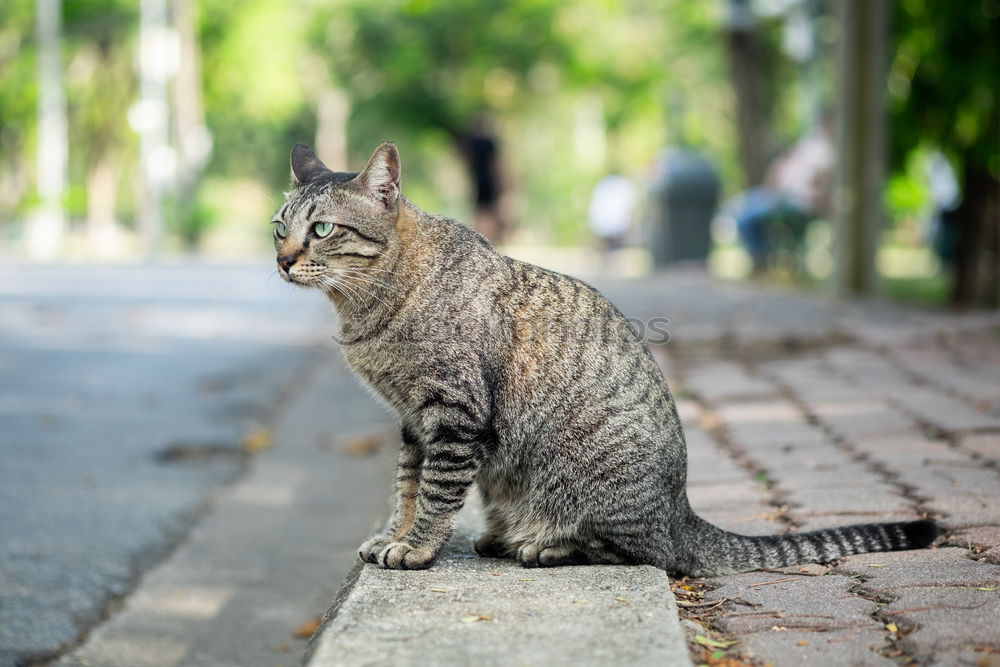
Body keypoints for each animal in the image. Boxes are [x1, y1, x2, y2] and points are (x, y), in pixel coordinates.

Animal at [274, 142, 936, 580]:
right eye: (280, 227)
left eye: (323, 229)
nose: (282, 260)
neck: (366, 308)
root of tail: (681, 511)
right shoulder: (413, 421)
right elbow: (406, 487)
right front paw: (393, 534)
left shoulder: (452, 416)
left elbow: (435, 494)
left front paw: (416, 547)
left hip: (592, 484)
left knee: (648, 554)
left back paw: (543, 545)